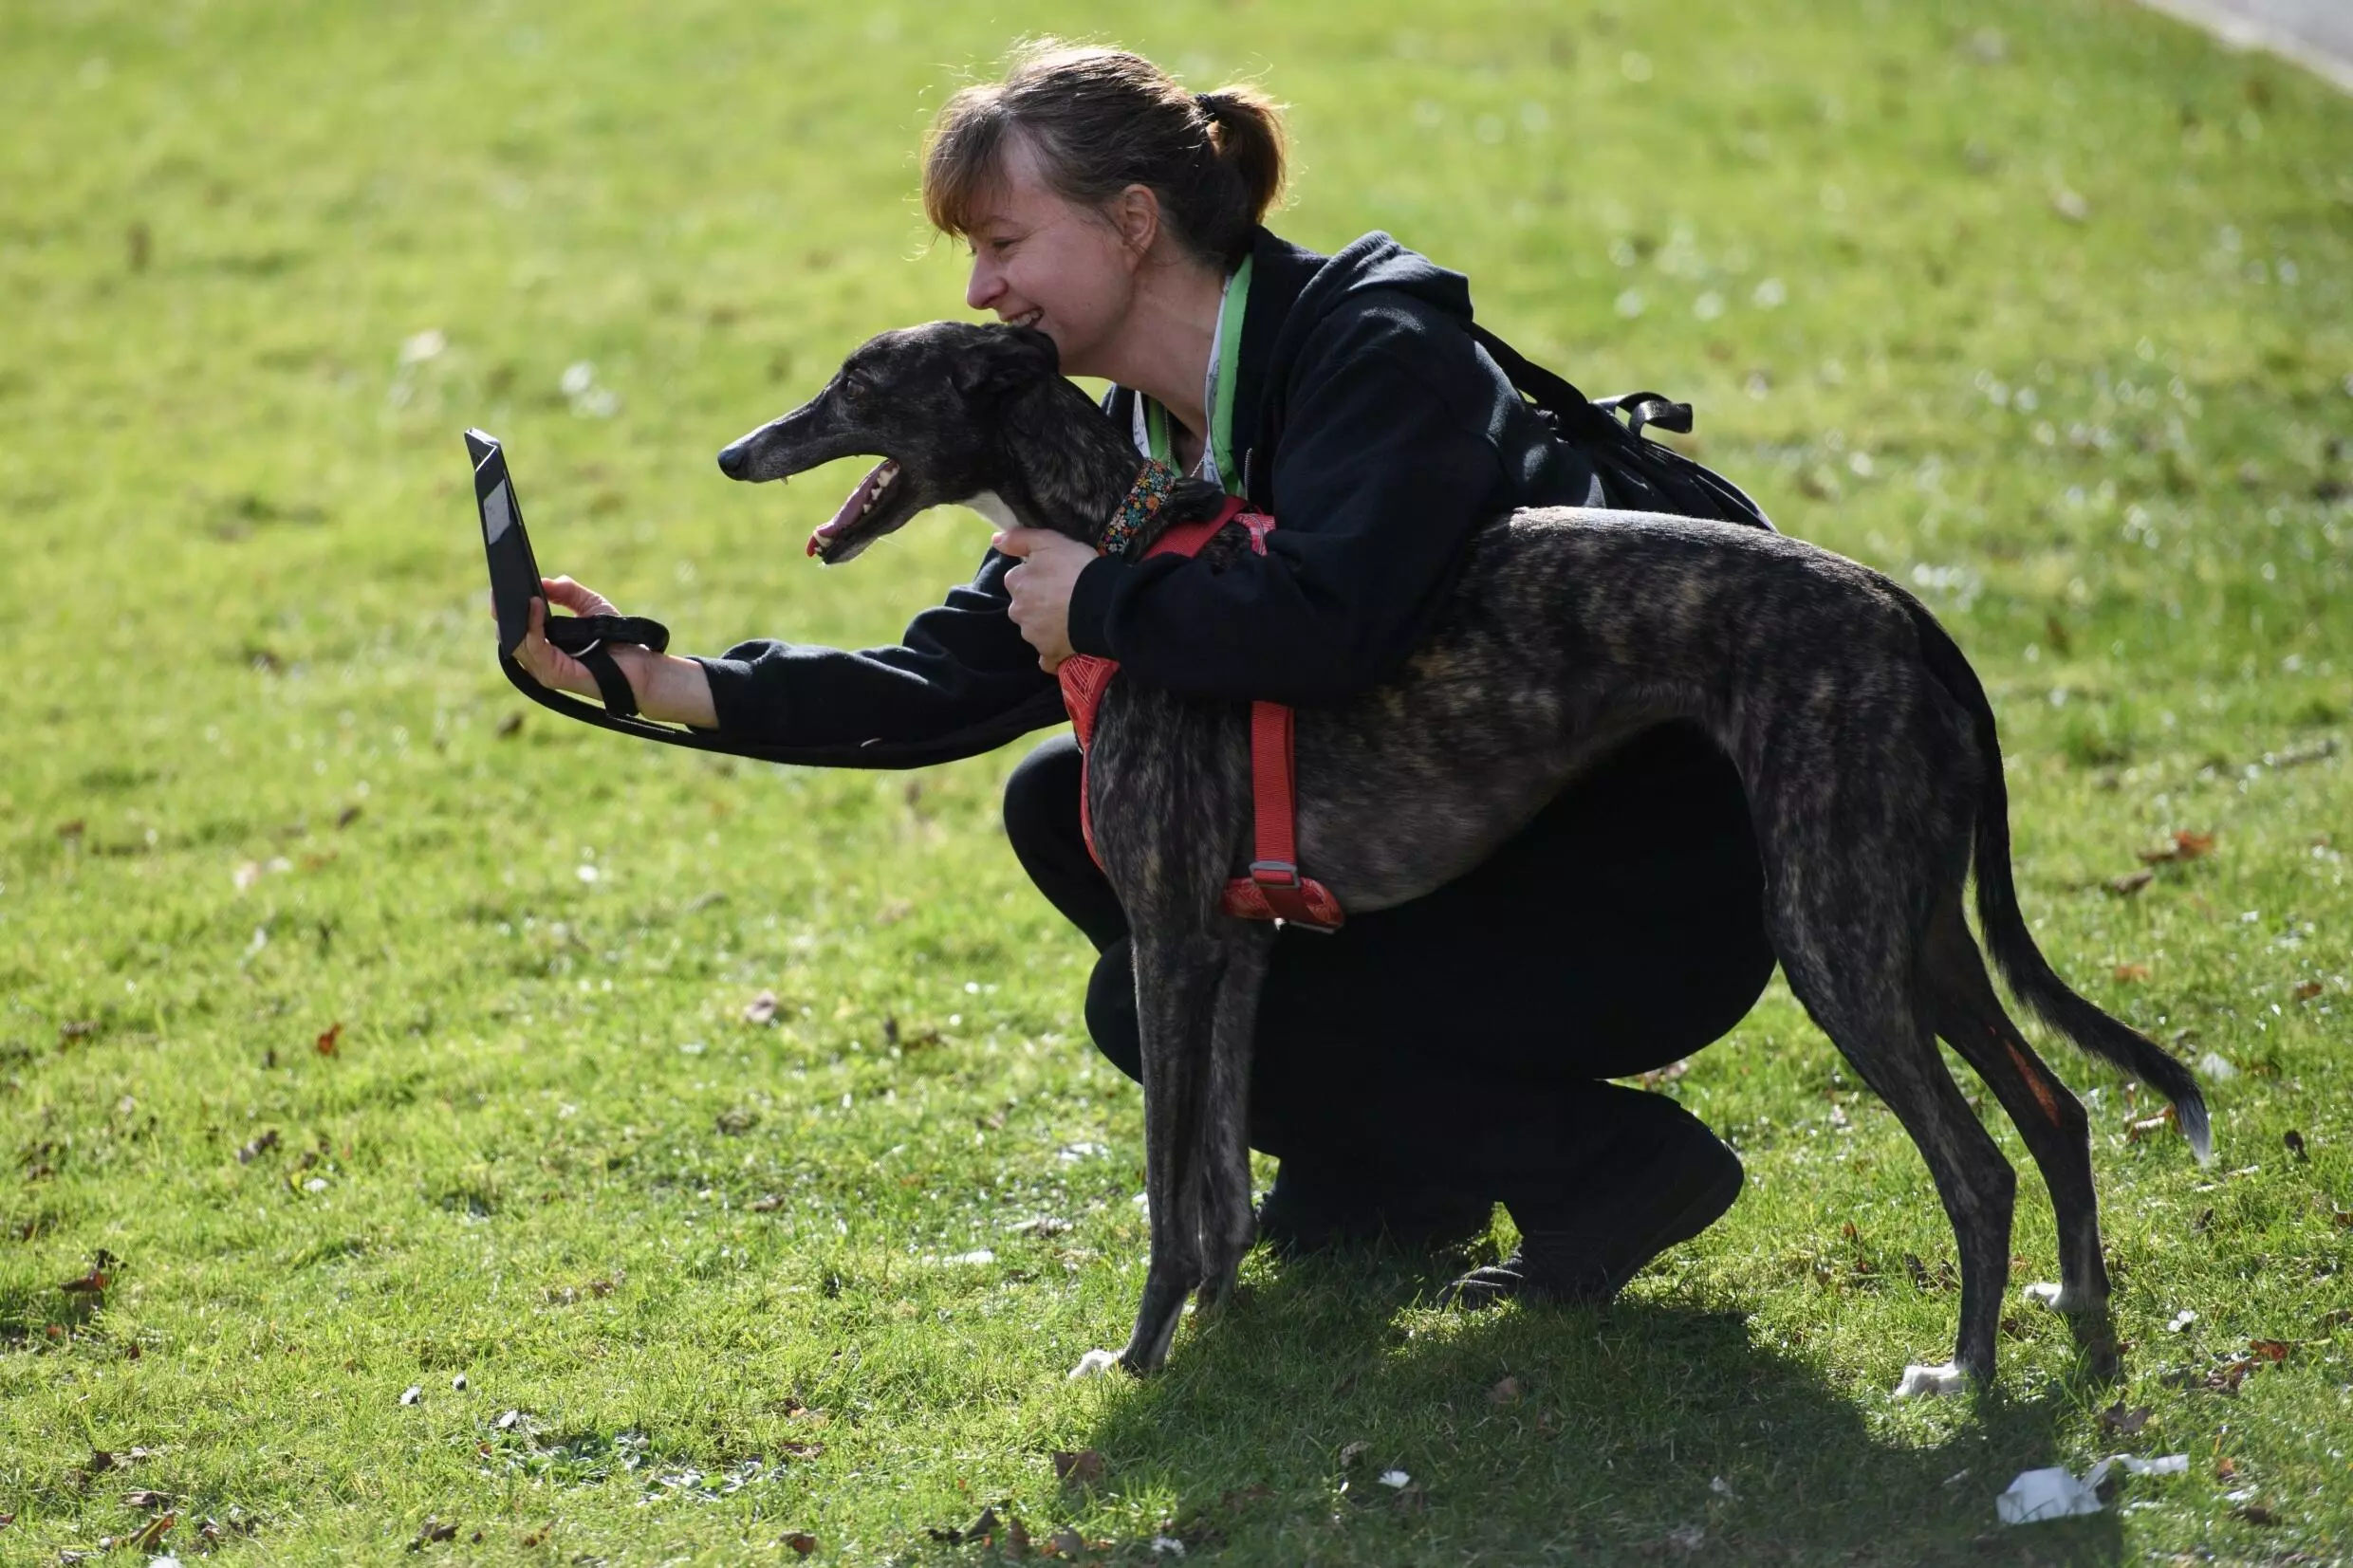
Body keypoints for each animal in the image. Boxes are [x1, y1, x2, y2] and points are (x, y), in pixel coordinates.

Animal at [710, 322, 2202, 1401]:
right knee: (2057, 1108)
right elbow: (1217, 1192)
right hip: (1916, 920)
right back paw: (2080, 1317)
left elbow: (1165, 1192)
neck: (1121, 549)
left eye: (857, 380)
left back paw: (1966, 1373)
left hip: (1833, 936)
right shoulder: (1239, 940)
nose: (732, 453)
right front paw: (1226, 1328)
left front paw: (1135, 1359)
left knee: (1978, 1163)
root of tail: (1905, 612)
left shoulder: (1171, 939)